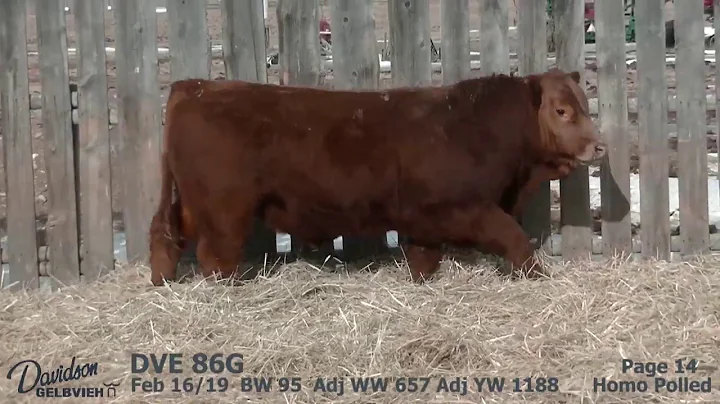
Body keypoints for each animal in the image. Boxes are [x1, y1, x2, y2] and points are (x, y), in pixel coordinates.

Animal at [148, 68, 606, 286]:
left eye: (584, 105)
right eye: (562, 110)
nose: (598, 146)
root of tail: (194, 87)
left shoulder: (423, 221)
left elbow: (424, 260)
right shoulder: (467, 208)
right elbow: (514, 237)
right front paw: (538, 276)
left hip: (193, 204)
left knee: (165, 234)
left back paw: (161, 281)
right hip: (225, 209)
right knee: (215, 256)